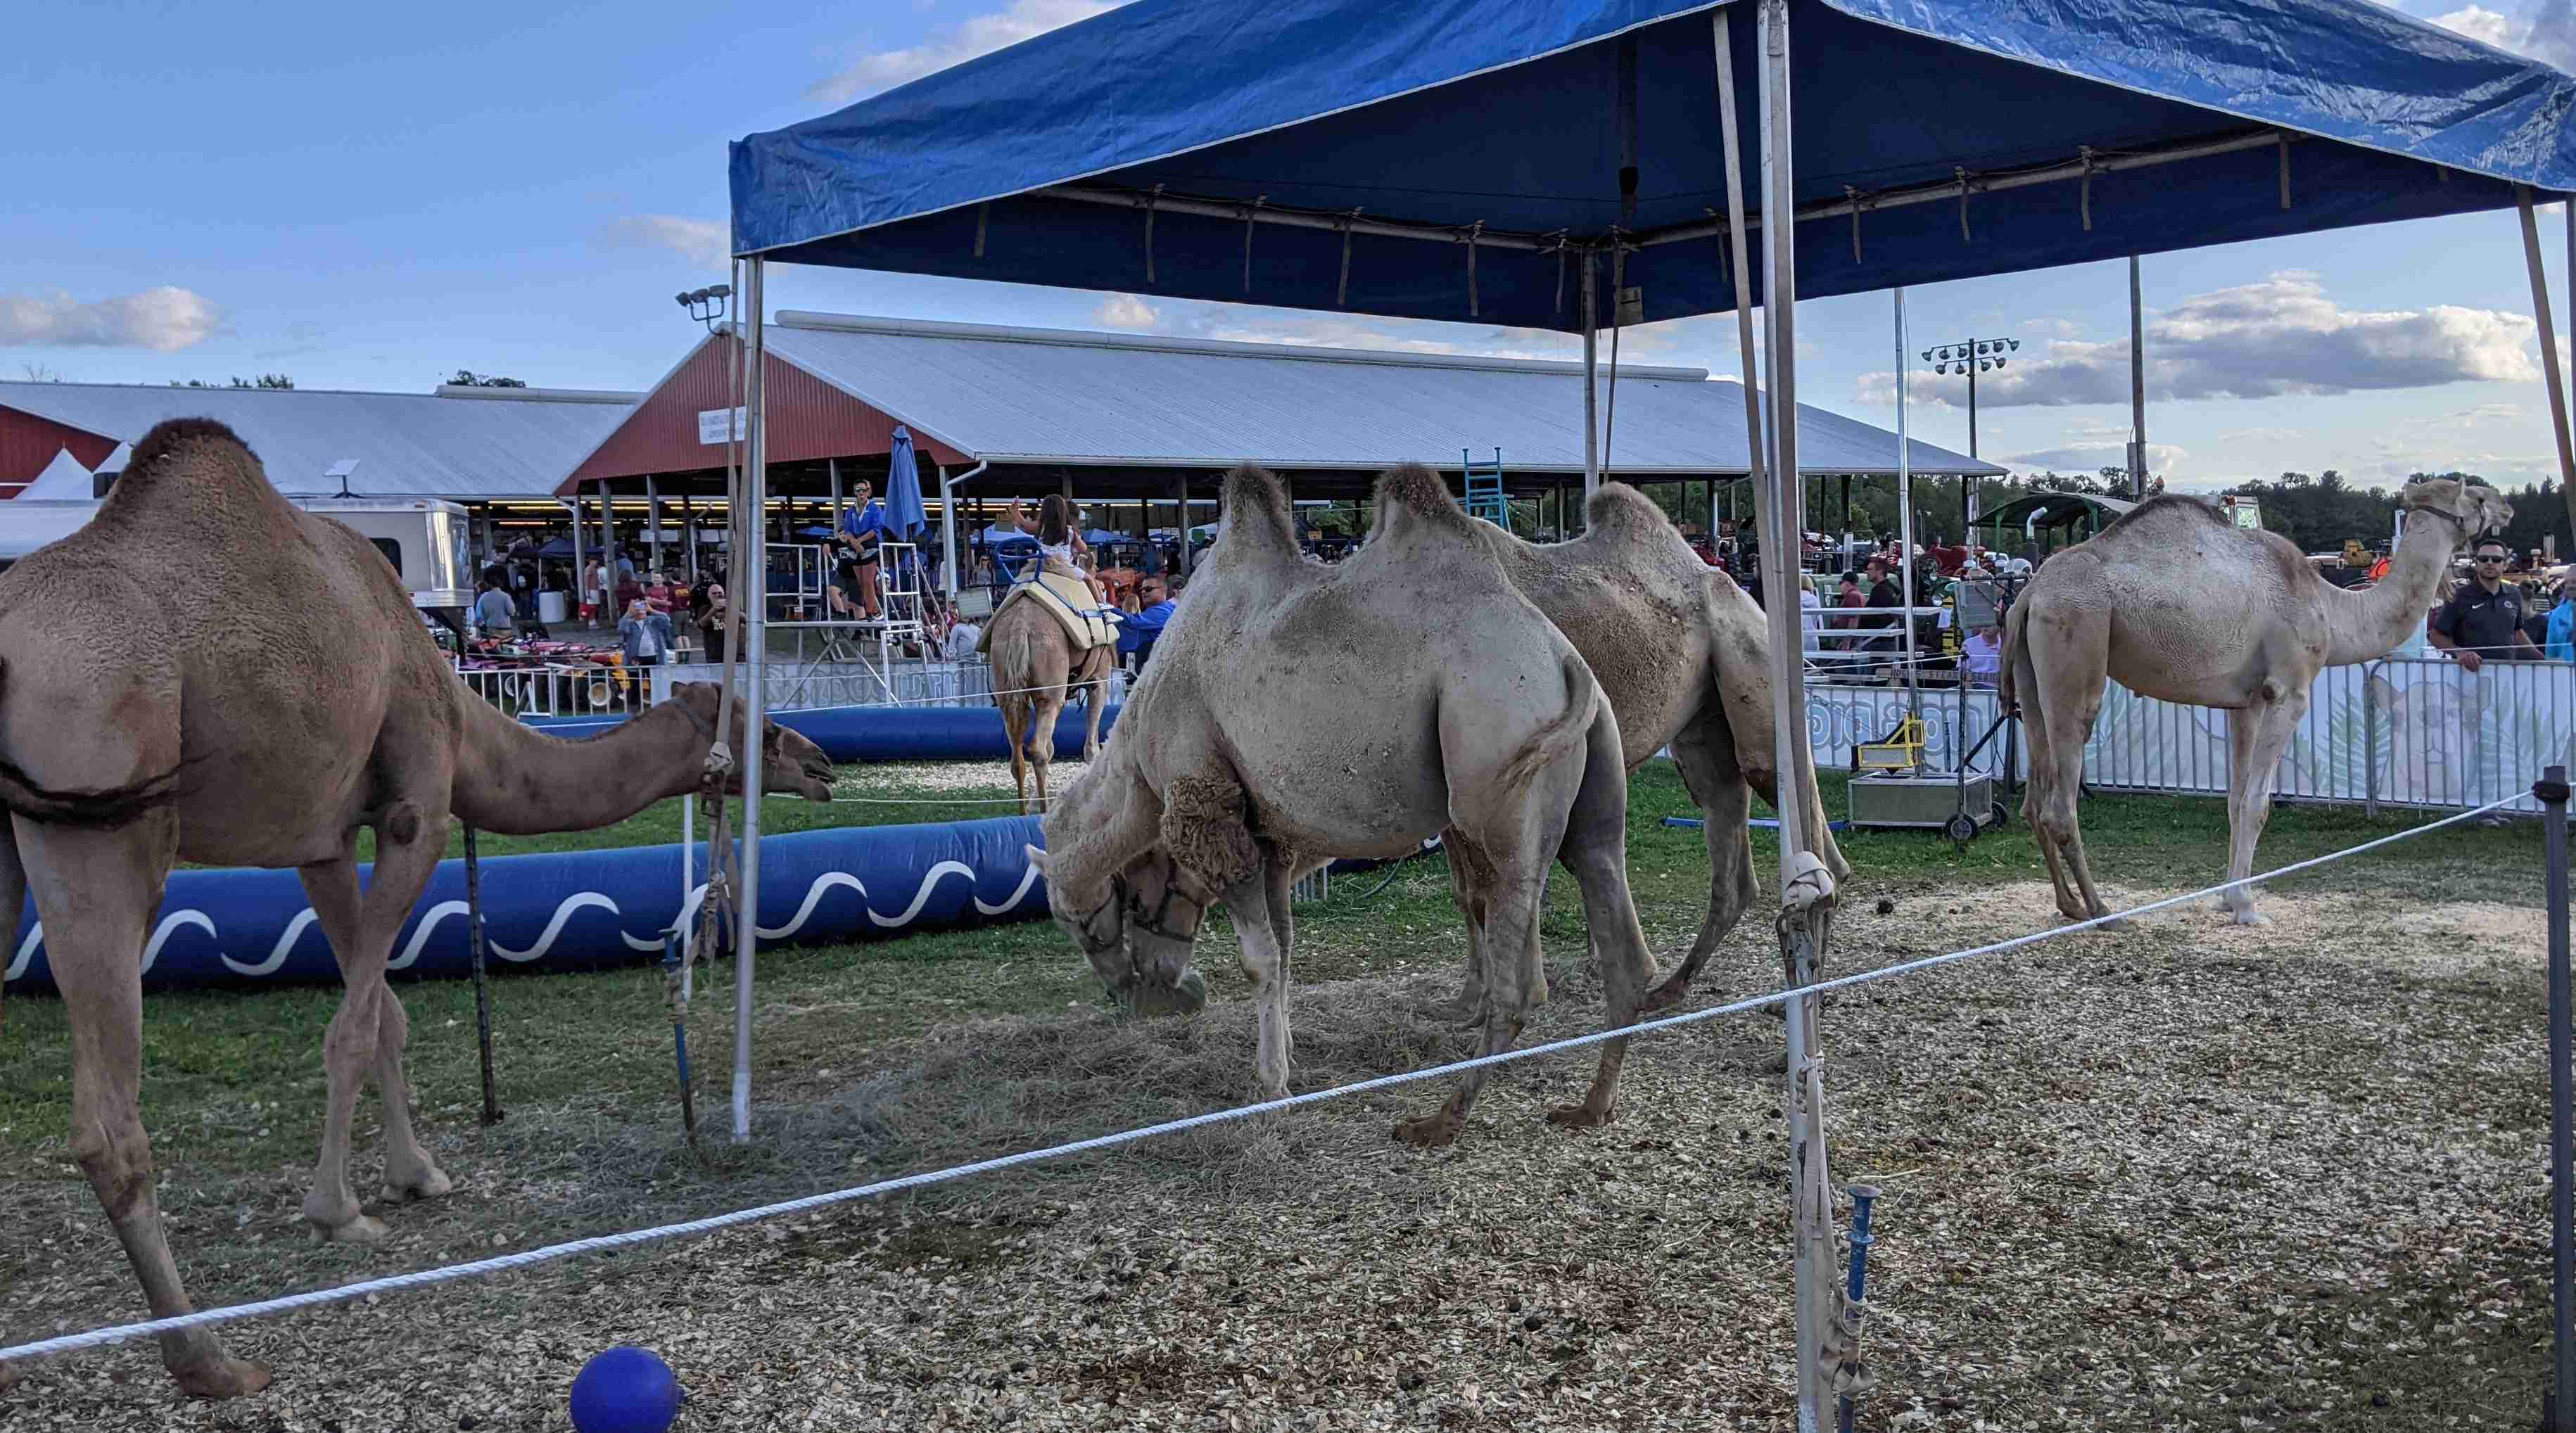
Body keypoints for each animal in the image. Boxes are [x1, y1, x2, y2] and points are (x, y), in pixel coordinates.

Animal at [0, 417, 835, 1402]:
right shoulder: (418, 814)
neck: (457, 706)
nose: (823, 765)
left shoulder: (322, 840)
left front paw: (416, 1175)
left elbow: (386, 1015)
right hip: (103, 828)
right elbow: (355, 1025)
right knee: (108, 1123)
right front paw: (338, 1211)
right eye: (762, 730)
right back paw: (208, 1358)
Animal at [979, 590, 1112, 820]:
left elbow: (1053, 747)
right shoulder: (1099, 680)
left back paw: (1024, 812)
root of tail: (1019, 627)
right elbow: (1090, 747)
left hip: (1008, 693)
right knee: (1038, 750)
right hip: (1050, 696)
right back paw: (1043, 811)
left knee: (1018, 756)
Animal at [1020, 464, 1649, 1149]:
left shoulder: (1211, 804)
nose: (1139, 994)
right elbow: (1287, 948)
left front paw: (1271, 1086)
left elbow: (1259, 960)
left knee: (1523, 982)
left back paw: (1440, 1118)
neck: (1137, 751)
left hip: (1499, 767)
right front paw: (1289, 1060)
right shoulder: (1267, 836)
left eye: (1081, 920)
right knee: (1622, 938)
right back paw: (1592, 1105)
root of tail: (1561, 661)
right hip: (1594, 786)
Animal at [1097, 487, 1844, 1026]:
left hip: (1749, 662)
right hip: (1699, 724)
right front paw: (1472, 1000)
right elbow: (1471, 893)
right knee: (1732, 824)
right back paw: (1676, 986)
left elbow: (1487, 889)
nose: (1142, 988)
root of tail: (1727, 580)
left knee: (1799, 811)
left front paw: (1501, 998)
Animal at [1998, 479, 2504, 927]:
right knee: (2061, 799)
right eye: (2477, 495)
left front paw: (2227, 897)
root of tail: (2028, 592)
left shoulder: (2247, 702)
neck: (2331, 607)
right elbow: (2259, 803)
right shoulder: (2289, 690)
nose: (2507, 507)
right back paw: (2103, 912)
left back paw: (2069, 905)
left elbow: (2236, 799)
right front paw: (2246, 906)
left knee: (2033, 797)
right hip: (2075, 639)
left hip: (2032, 671)